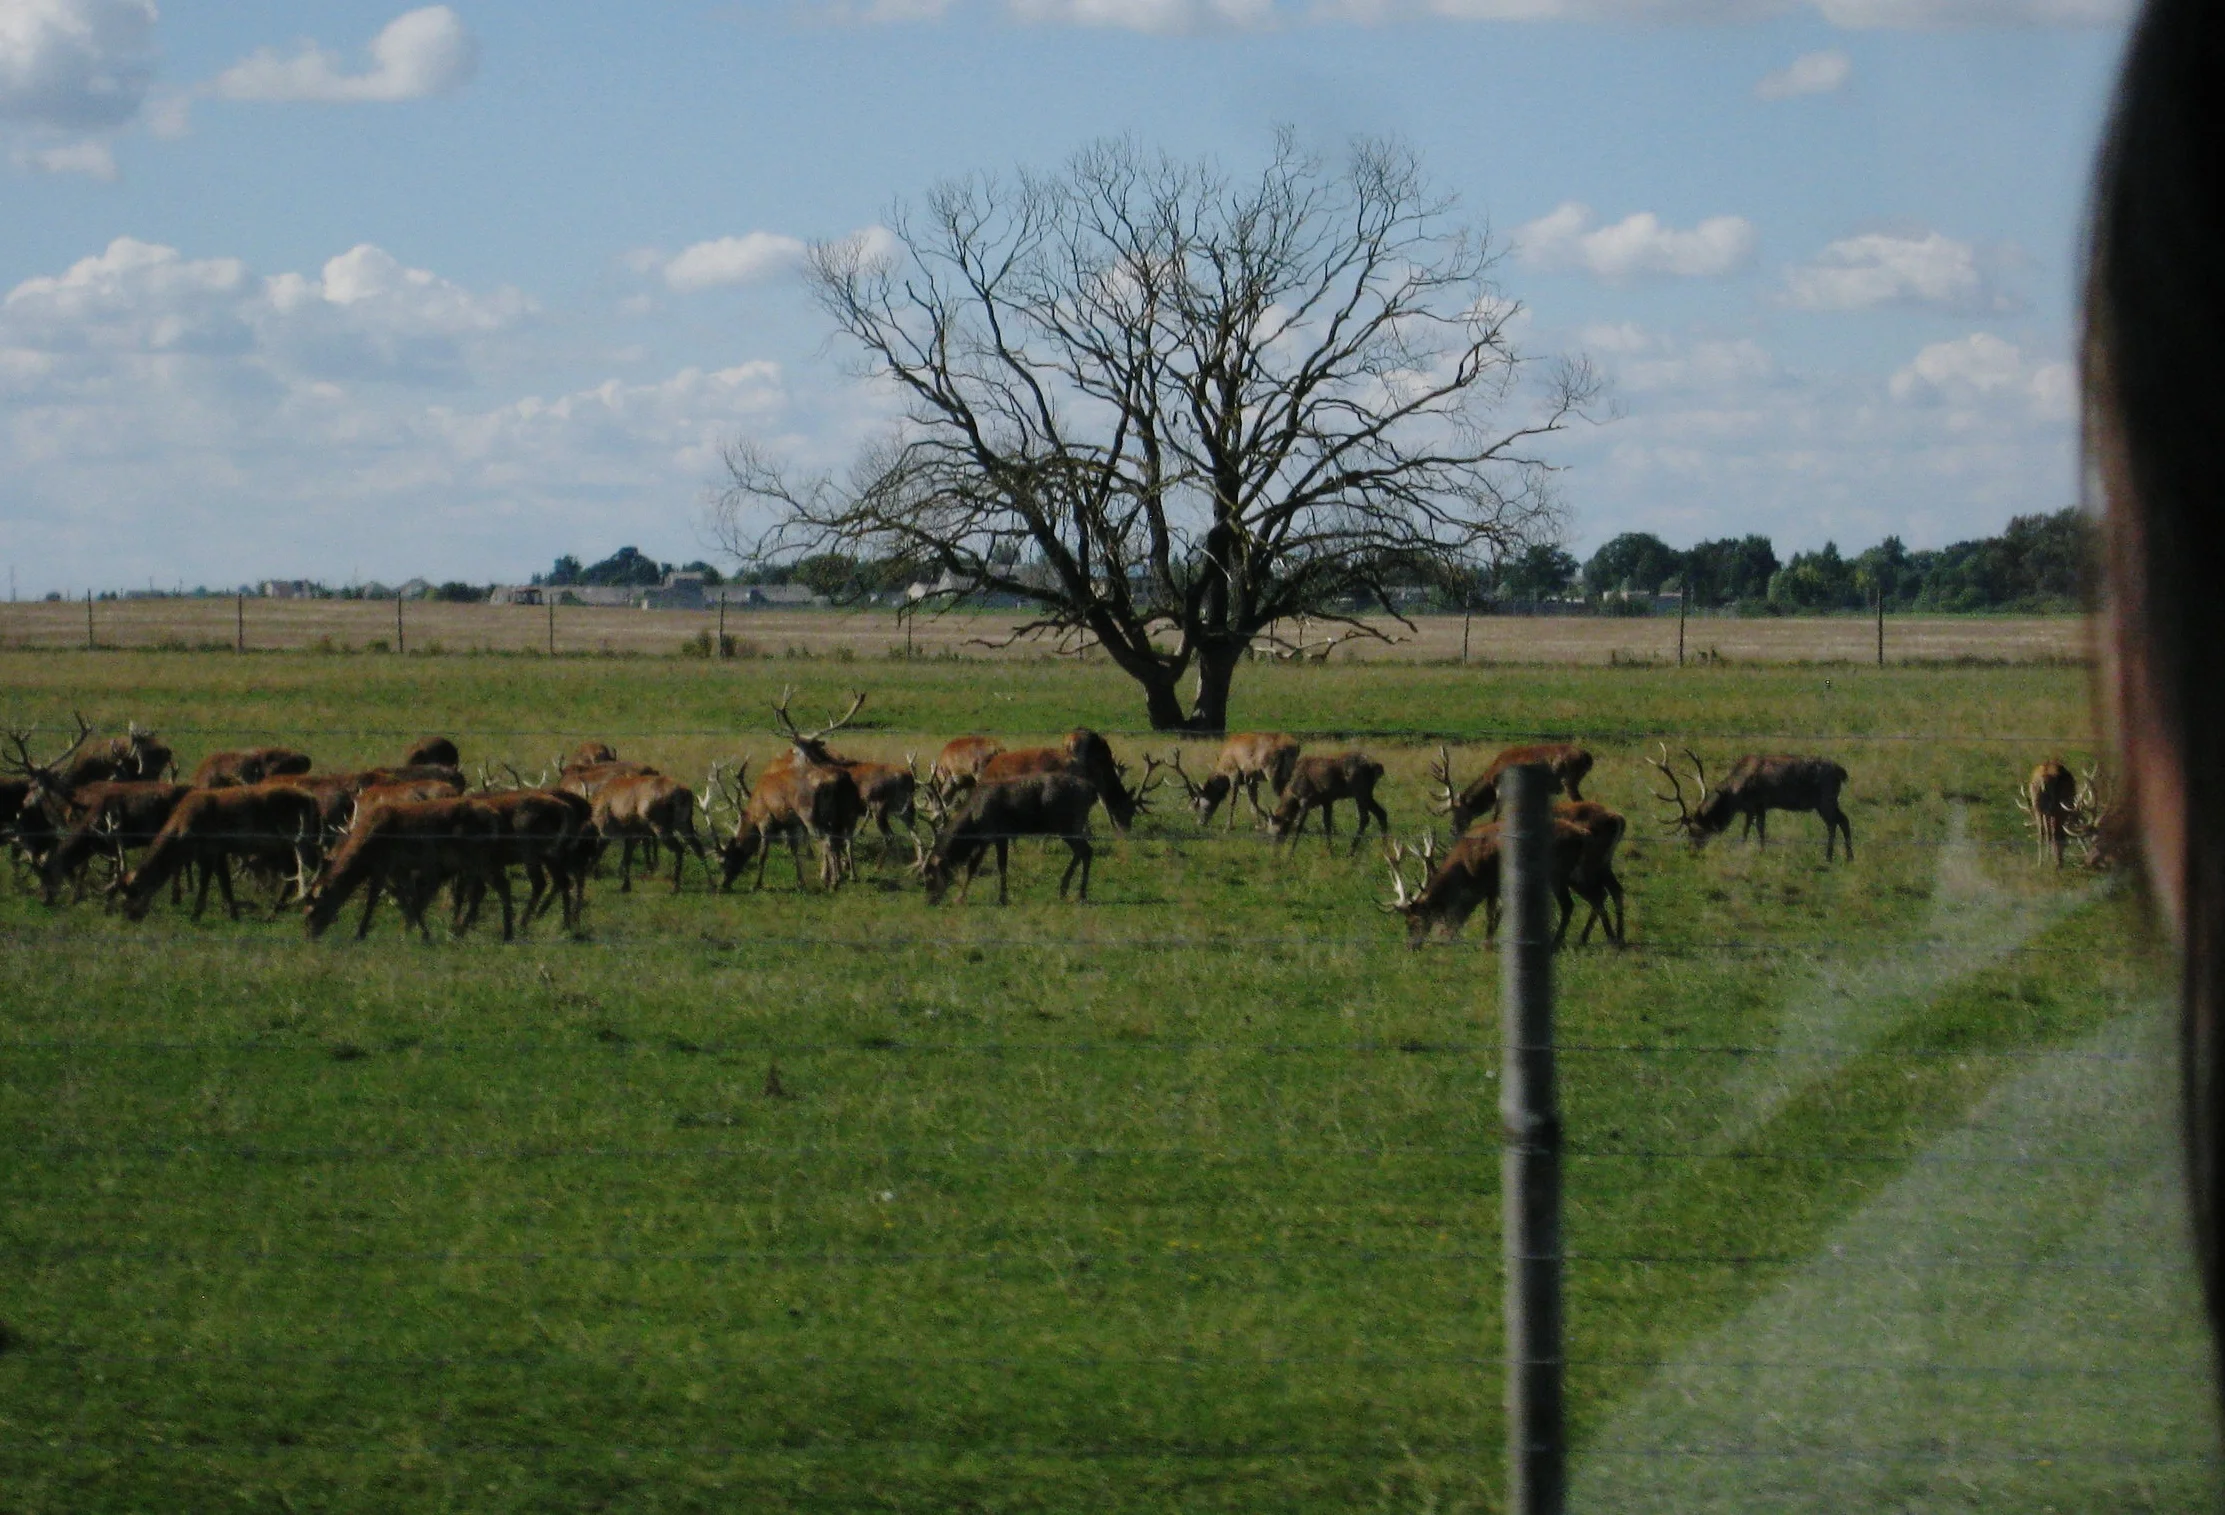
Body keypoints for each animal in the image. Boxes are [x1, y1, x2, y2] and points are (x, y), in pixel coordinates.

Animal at [119, 783, 325, 923]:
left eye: (133, 892)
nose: (131, 916)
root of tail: (313, 799)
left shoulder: (210, 848)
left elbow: (206, 882)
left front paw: (196, 915)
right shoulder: (219, 850)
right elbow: (224, 881)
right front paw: (233, 914)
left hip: (296, 840)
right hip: (286, 846)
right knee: (296, 874)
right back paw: (274, 913)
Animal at [914, 772, 1102, 905]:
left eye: (929, 876)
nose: (929, 901)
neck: (973, 821)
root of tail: (1092, 791)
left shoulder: (994, 834)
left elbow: (988, 866)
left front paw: (964, 898)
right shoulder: (991, 838)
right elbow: (983, 866)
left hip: (1066, 823)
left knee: (1085, 850)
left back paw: (1078, 893)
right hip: (1071, 825)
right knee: (1083, 851)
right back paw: (1068, 890)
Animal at [1165, 734, 1302, 829]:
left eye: (1197, 805)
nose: (1200, 823)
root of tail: (1296, 746)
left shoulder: (1234, 772)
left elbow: (1233, 800)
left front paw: (1228, 825)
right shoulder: (1251, 778)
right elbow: (1253, 801)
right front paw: (1259, 824)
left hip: (1271, 770)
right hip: (1286, 772)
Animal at [1426, 743, 1594, 833]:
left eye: (1458, 812)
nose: (1452, 830)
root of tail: (1587, 757)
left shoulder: (1502, 790)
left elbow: (1495, 815)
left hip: (1569, 780)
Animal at [1650, 745, 1854, 861]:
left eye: (1692, 830)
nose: (1691, 852)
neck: (1734, 796)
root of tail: (1842, 772)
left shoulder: (1758, 804)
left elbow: (1759, 829)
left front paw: (1761, 851)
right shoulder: (1753, 808)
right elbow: (1747, 829)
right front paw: (1744, 847)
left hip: (1826, 799)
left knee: (1835, 823)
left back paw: (1830, 856)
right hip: (1829, 801)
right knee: (1843, 820)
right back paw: (1848, 856)